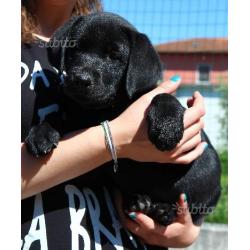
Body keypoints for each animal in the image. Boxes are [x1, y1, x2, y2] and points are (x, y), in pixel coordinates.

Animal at [25, 12, 221, 226]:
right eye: (75, 49)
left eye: (114, 56)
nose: (81, 79)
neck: (104, 109)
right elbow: (58, 118)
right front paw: (41, 133)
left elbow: (162, 96)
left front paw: (167, 127)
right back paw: (140, 202)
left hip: (209, 169)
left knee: (193, 208)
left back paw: (164, 210)